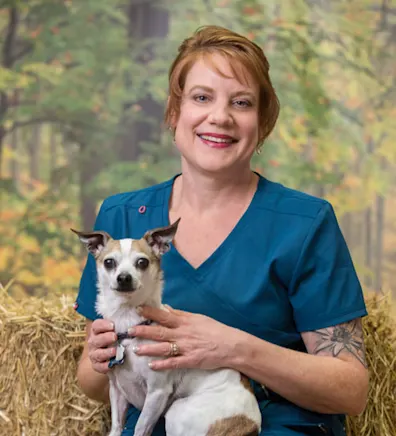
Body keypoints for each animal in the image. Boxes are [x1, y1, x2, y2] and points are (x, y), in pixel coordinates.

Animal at [72, 221, 262, 436]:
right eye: (109, 262)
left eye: (142, 262)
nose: (124, 277)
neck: (127, 322)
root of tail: (251, 426)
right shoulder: (117, 390)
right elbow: (116, 426)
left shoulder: (157, 393)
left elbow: (140, 428)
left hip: (177, 410)